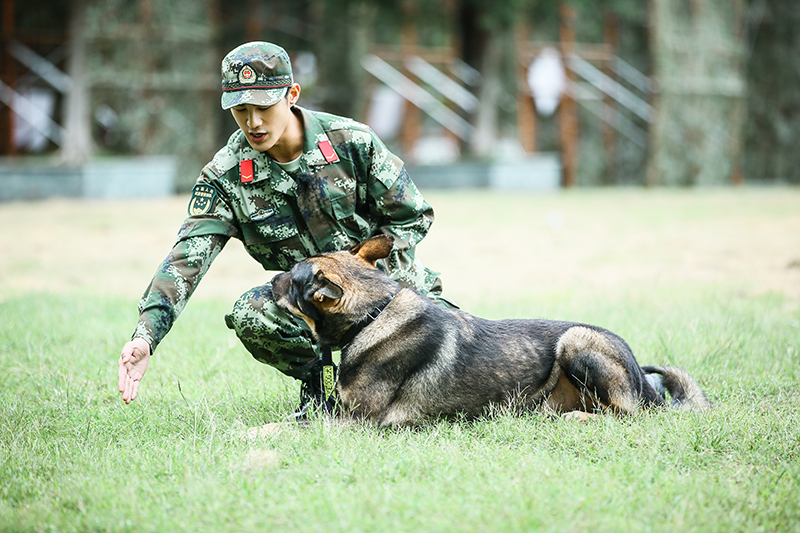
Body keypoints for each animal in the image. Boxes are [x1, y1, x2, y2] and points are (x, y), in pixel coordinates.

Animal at [272, 235, 708, 426]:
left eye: (292, 278)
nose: (272, 278)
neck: (374, 315)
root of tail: (651, 392)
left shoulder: (357, 422)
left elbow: (284, 427)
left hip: (577, 340)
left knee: (626, 415)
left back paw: (579, 419)